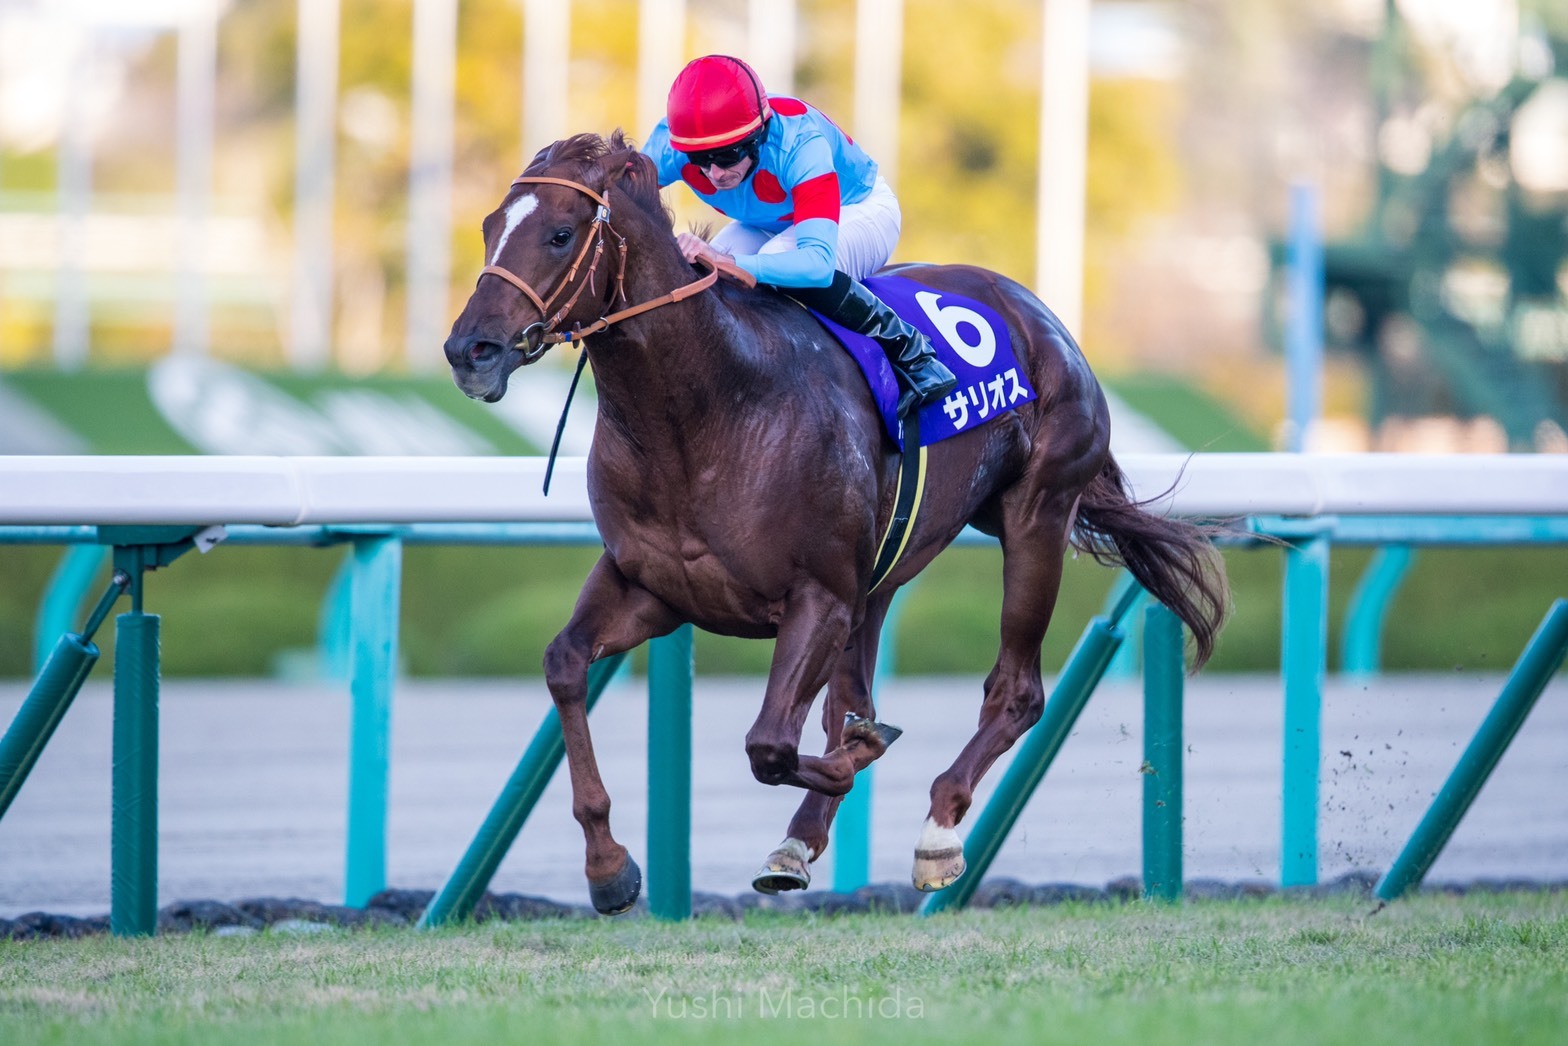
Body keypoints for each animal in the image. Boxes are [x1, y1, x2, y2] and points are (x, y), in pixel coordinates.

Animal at [442, 130, 1223, 915]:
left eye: (560, 234)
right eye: (488, 226)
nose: (468, 350)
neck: (709, 409)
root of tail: (1039, 314)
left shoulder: (817, 596)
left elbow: (770, 745)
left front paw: (864, 753)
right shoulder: (653, 588)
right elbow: (565, 665)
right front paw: (609, 868)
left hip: (1037, 516)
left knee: (1017, 692)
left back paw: (938, 831)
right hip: (885, 569)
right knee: (852, 695)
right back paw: (799, 838)